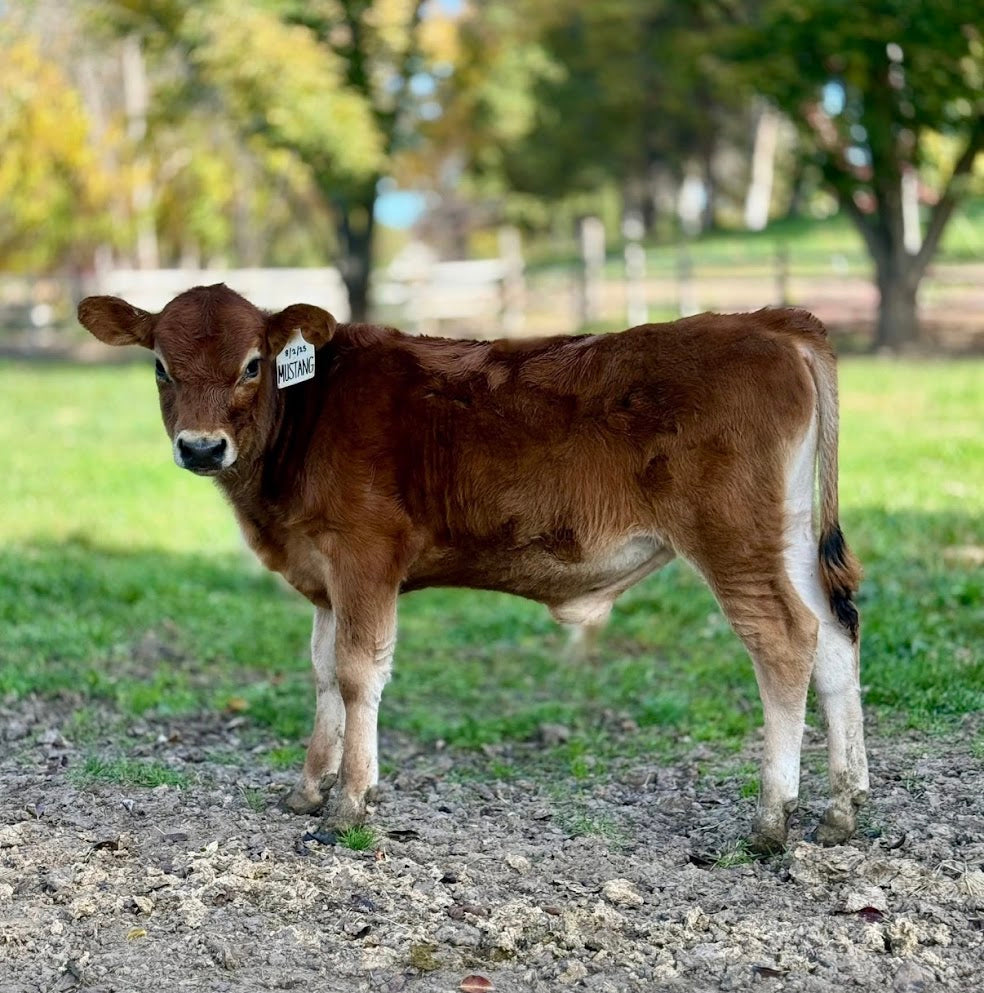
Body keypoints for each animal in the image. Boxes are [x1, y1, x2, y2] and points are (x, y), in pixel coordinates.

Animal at [77, 284, 868, 853]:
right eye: (159, 365)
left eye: (252, 363)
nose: (201, 447)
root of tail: (767, 321)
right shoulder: (324, 574)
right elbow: (323, 671)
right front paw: (309, 787)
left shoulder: (365, 554)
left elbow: (359, 672)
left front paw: (349, 805)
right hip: (787, 535)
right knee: (834, 636)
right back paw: (843, 807)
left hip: (734, 538)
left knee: (785, 642)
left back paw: (772, 818)